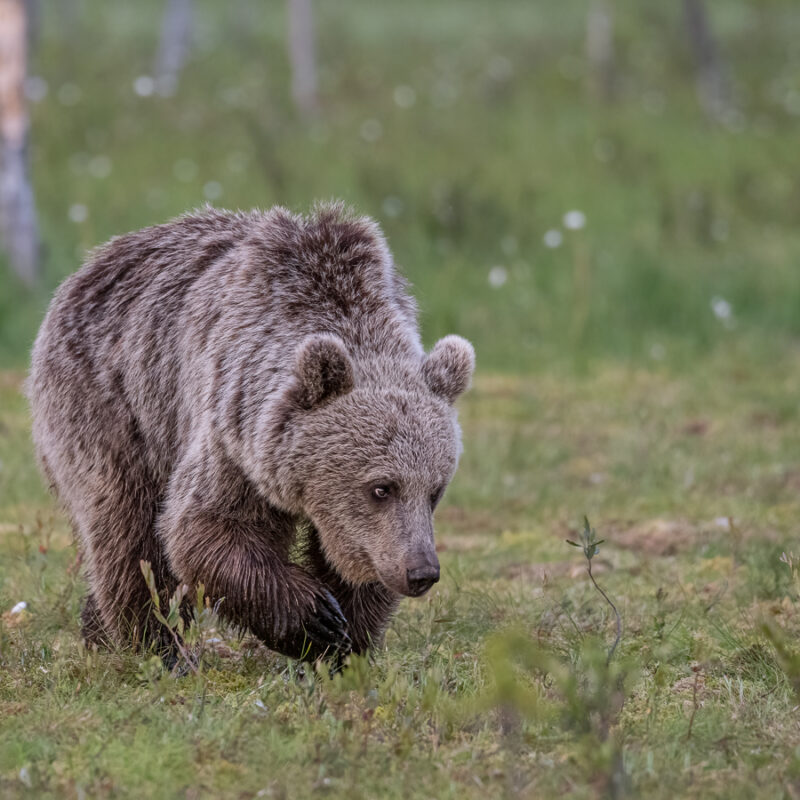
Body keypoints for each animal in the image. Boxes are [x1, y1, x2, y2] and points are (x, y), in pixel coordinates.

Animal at [26, 205, 476, 664]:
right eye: (382, 488)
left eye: (435, 490)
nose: (421, 571)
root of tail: (89, 266)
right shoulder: (232, 429)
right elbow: (202, 527)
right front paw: (315, 620)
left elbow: (356, 567)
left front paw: (345, 646)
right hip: (116, 407)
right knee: (126, 528)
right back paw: (158, 647)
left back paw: (98, 632)